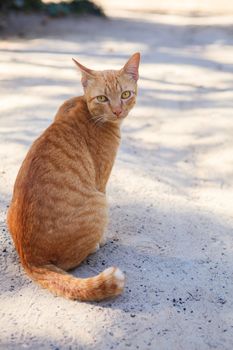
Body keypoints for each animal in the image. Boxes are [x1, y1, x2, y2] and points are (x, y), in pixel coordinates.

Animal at [6, 52, 140, 300]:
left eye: (125, 95)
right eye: (102, 98)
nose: (118, 110)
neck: (85, 107)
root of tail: (30, 259)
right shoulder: (101, 181)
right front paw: (102, 238)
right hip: (99, 201)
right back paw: (96, 244)